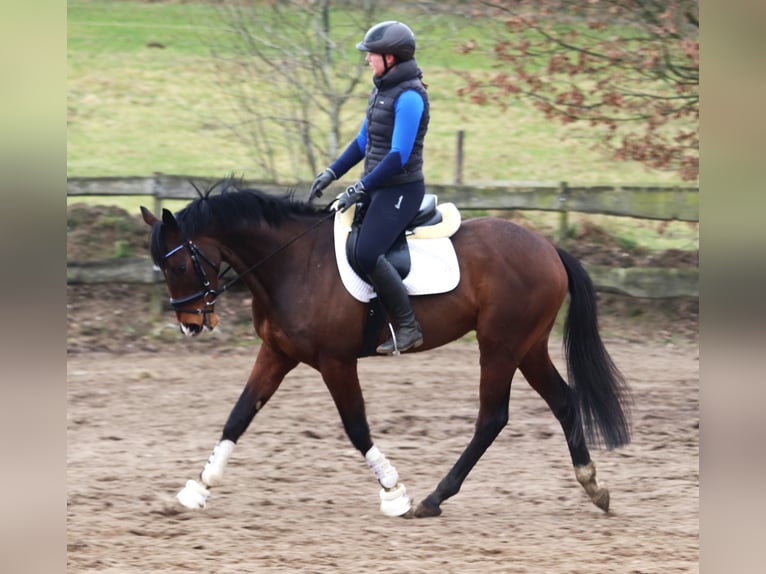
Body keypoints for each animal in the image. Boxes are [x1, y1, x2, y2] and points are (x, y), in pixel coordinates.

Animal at [141, 179, 632, 516]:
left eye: (180, 265)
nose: (190, 325)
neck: (293, 264)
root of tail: (549, 248)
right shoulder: (277, 354)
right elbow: (239, 415)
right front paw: (197, 488)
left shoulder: (336, 362)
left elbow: (356, 427)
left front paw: (394, 493)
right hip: (527, 347)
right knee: (563, 400)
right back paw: (593, 486)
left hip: (500, 346)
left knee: (492, 417)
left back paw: (434, 498)